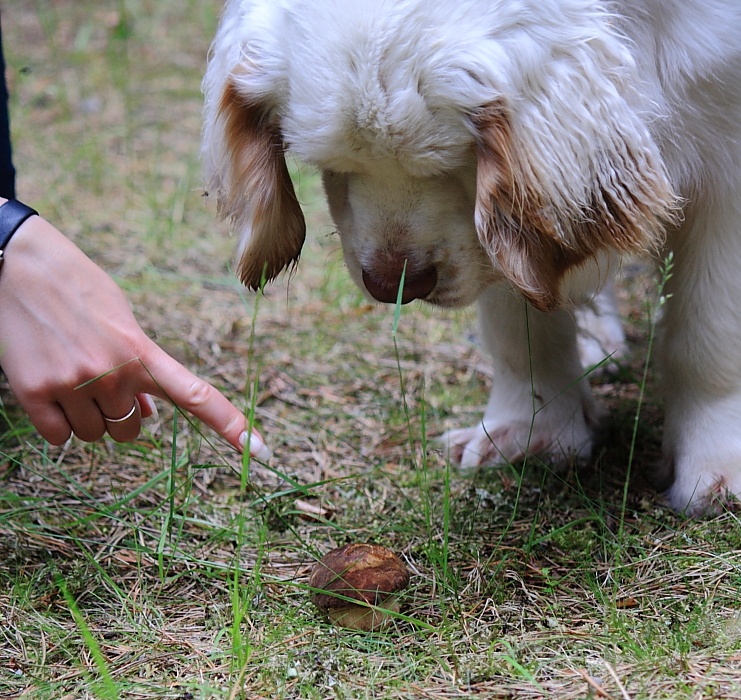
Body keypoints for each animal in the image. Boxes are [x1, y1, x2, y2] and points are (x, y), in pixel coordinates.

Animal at [202, 0, 740, 516]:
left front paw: (715, 465)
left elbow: (708, 337)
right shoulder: (502, 231)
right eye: (331, 165)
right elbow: (521, 326)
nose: (392, 286)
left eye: (454, 160)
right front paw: (530, 433)